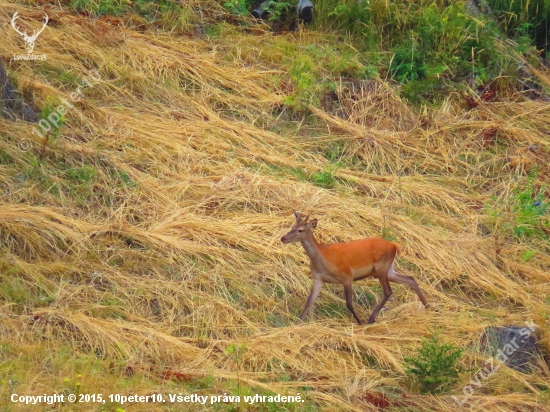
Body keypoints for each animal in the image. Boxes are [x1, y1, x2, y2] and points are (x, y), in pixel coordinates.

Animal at [280, 212, 432, 326]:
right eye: (292, 226)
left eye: (300, 230)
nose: (283, 238)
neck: (324, 259)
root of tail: (394, 245)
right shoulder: (318, 278)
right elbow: (309, 301)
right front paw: (298, 323)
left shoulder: (347, 276)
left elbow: (349, 304)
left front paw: (359, 322)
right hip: (388, 270)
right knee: (410, 279)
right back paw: (427, 306)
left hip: (382, 268)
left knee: (388, 291)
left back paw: (371, 318)